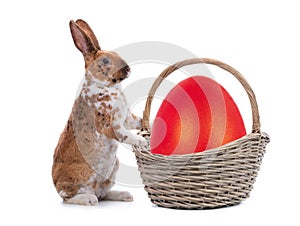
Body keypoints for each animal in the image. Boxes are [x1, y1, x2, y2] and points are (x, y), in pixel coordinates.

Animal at [53, 19, 149, 206]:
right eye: (105, 61)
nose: (128, 69)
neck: (107, 86)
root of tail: (54, 183)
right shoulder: (108, 124)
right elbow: (124, 134)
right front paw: (141, 141)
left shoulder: (127, 119)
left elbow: (138, 121)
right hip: (78, 176)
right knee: (68, 197)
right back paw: (89, 199)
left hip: (112, 170)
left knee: (103, 193)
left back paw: (124, 195)